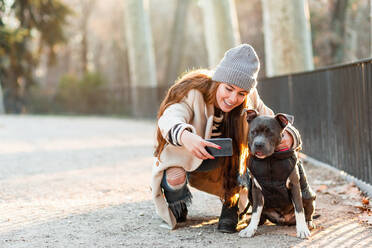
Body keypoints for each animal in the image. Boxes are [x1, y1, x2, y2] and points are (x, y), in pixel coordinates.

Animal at [240, 109, 316, 239]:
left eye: (270, 133)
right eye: (253, 132)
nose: (258, 144)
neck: (270, 159)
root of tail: (283, 220)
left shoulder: (295, 187)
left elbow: (299, 209)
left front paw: (302, 230)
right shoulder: (256, 189)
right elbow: (255, 211)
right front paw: (250, 229)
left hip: (307, 195)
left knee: (308, 213)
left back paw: (308, 223)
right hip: (250, 194)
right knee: (261, 214)